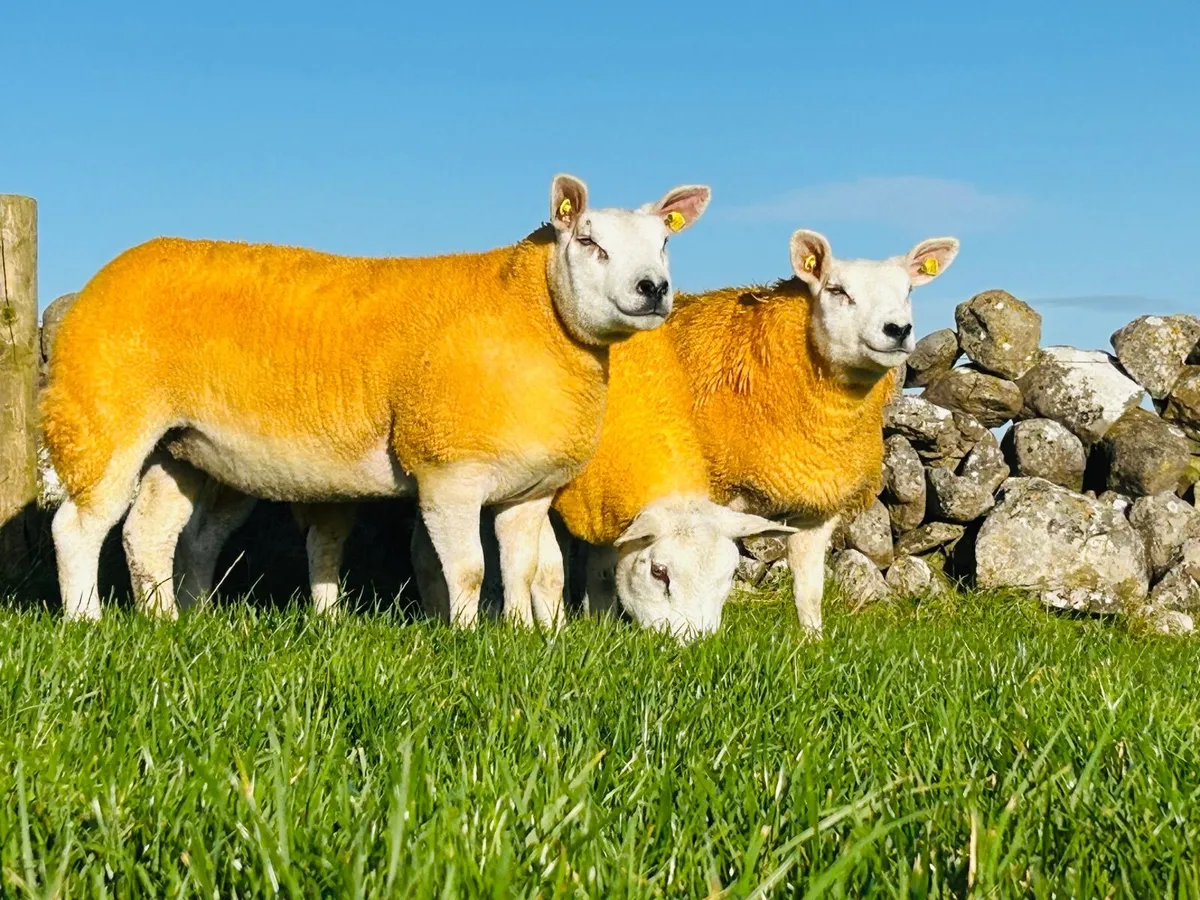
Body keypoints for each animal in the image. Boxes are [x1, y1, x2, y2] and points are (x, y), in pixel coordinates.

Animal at [41, 173, 712, 623]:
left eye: (665, 244)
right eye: (590, 243)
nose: (653, 288)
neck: (534, 315)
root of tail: (109, 273)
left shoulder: (529, 489)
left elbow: (523, 570)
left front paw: (520, 639)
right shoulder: (446, 468)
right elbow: (469, 570)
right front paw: (466, 637)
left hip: (178, 446)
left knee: (147, 534)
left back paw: (165, 623)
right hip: (102, 415)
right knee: (77, 525)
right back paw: (87, 621)